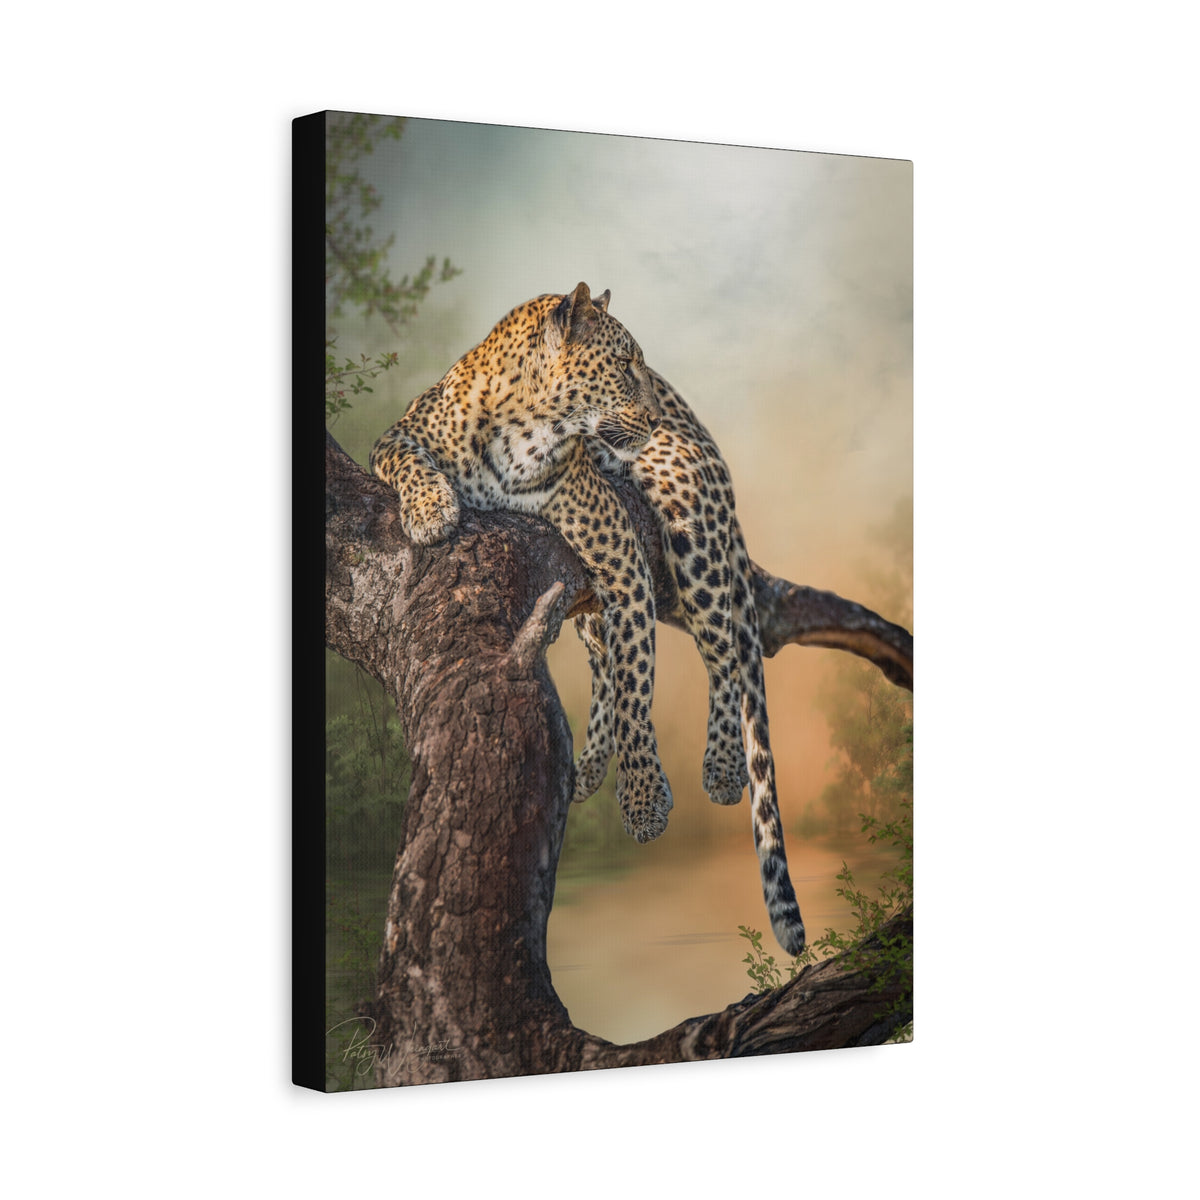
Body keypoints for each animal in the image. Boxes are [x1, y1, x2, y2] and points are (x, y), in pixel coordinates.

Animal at [370, 283, 805, 955]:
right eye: (624, 364)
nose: (652, 419)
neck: (520, 426)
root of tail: (701, 432)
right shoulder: (398, 434)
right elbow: (406, 460)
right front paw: (431, 511)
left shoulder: (620, 551)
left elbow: (637, 686)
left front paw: (645, 801)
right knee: (602, 652)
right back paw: (592, 765)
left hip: (690, 526)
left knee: (724, 656)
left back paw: (724, 765)